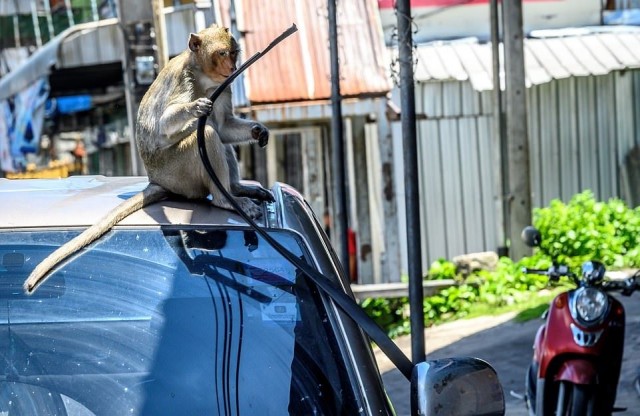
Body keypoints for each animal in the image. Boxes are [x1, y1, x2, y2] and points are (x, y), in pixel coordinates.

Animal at [24, 25, 272, 292]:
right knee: (206, 133)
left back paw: (235, 189)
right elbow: (166, 124)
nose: (233, 67)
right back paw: (224, 199)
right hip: (176, 173)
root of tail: (156, 180)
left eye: (234, 52)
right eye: (222, 53)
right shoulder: (185, 82)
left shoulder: (224, 86)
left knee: (214, 133)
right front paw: (194, 108)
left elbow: (225, 127)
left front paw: (258, 130)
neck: (203, 75)